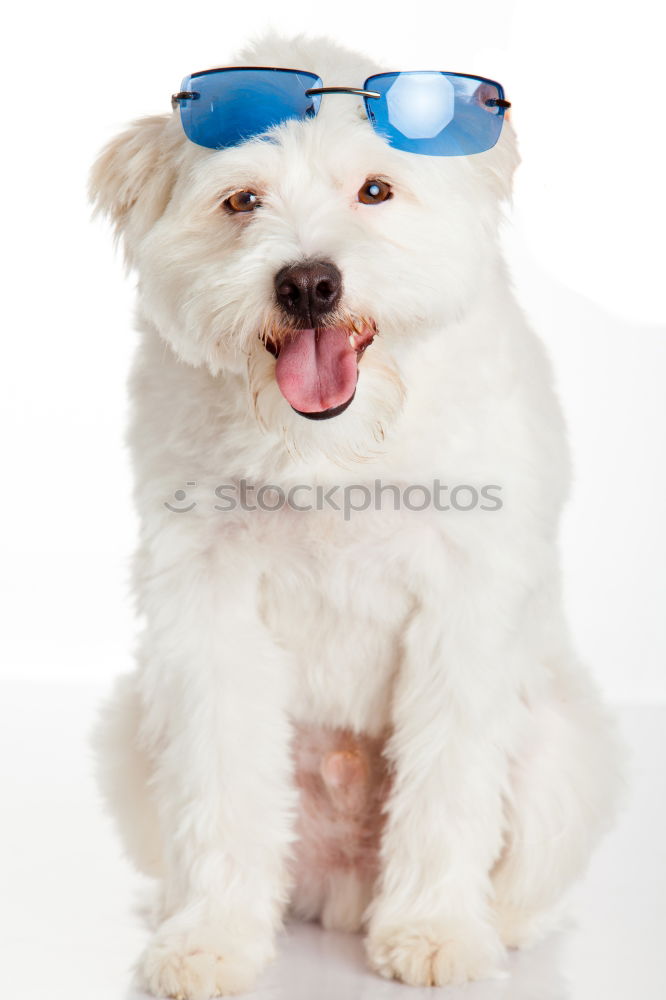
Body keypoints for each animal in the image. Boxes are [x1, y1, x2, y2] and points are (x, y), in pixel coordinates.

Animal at [91, 33, 620, 1000]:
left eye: (375, 190)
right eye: (242, 199)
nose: (308, 284)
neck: (332, 453)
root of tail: (339, 889)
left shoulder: (462, 603)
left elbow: (448, 783)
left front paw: (435, 930)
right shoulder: (207, 601)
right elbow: (221, 787)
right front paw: (213, 939)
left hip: (565, 746)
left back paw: (496, 925)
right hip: (133, 727)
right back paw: (180, 908)